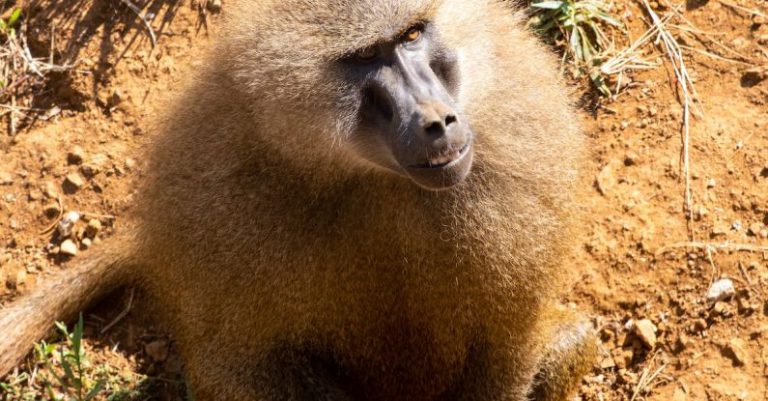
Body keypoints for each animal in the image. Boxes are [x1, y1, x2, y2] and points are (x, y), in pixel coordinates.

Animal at [0, 1, 597, 400]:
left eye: (411, 35)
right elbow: (244, 365)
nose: (437, 121)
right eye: (365, 57)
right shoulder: (223, 206)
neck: (376, 181)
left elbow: (506, 349)